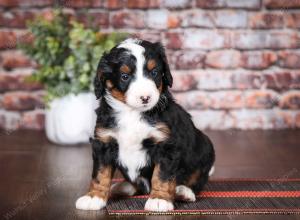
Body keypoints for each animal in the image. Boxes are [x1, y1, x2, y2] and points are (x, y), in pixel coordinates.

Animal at [76, 38, 214, 212]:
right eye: (125, 76)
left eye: (154, 72)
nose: (145, 97)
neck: (131, 113)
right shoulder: (103, 142)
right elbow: (100, 174)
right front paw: (94, 197)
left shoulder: (166, 145)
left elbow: (161, 175)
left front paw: (159, 199)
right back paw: (123, 187)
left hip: (205, 148)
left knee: (197, 179)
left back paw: (183, 191)